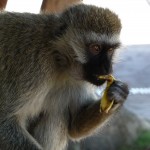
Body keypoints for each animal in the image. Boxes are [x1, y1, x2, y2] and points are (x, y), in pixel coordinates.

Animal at [0, 3, 129, 150]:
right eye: (96, 48)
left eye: (110, 50)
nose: (107, 68)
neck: (58, 59)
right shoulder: (30, 67)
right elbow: (4, 121)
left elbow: (75, 126)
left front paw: (118, 93)